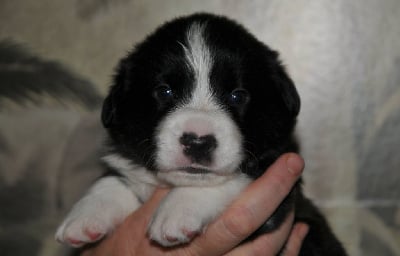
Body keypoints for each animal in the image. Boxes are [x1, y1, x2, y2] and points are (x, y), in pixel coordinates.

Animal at [55, 14, 346, 256]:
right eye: (164, 91)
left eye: (238, 95)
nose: (197, 142)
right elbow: (114, 179)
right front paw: (85, 215)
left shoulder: (281, 198)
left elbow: (231, 179)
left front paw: (177, 211)